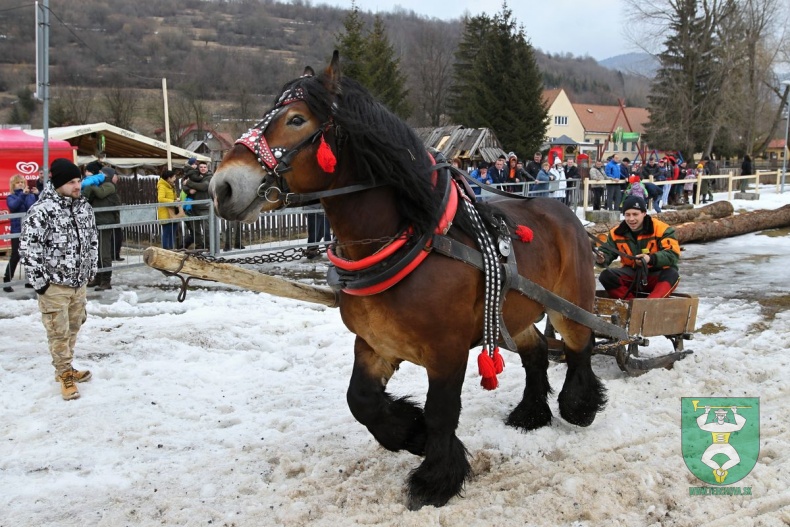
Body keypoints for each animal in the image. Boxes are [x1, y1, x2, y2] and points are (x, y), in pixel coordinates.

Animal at [210, 51, 608, 510]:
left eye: (296, 119)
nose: (221, 186)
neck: (411, 240)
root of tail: (565, 211)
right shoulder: (374, 342)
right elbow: (360, 400)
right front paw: (410, 433)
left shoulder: (447, 351)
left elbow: (440, 411)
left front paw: (435, 478)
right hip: (513, 313)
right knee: (538, 351)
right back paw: (531, 413)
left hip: (570, 305)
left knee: (580, 346)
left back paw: (579, 406)